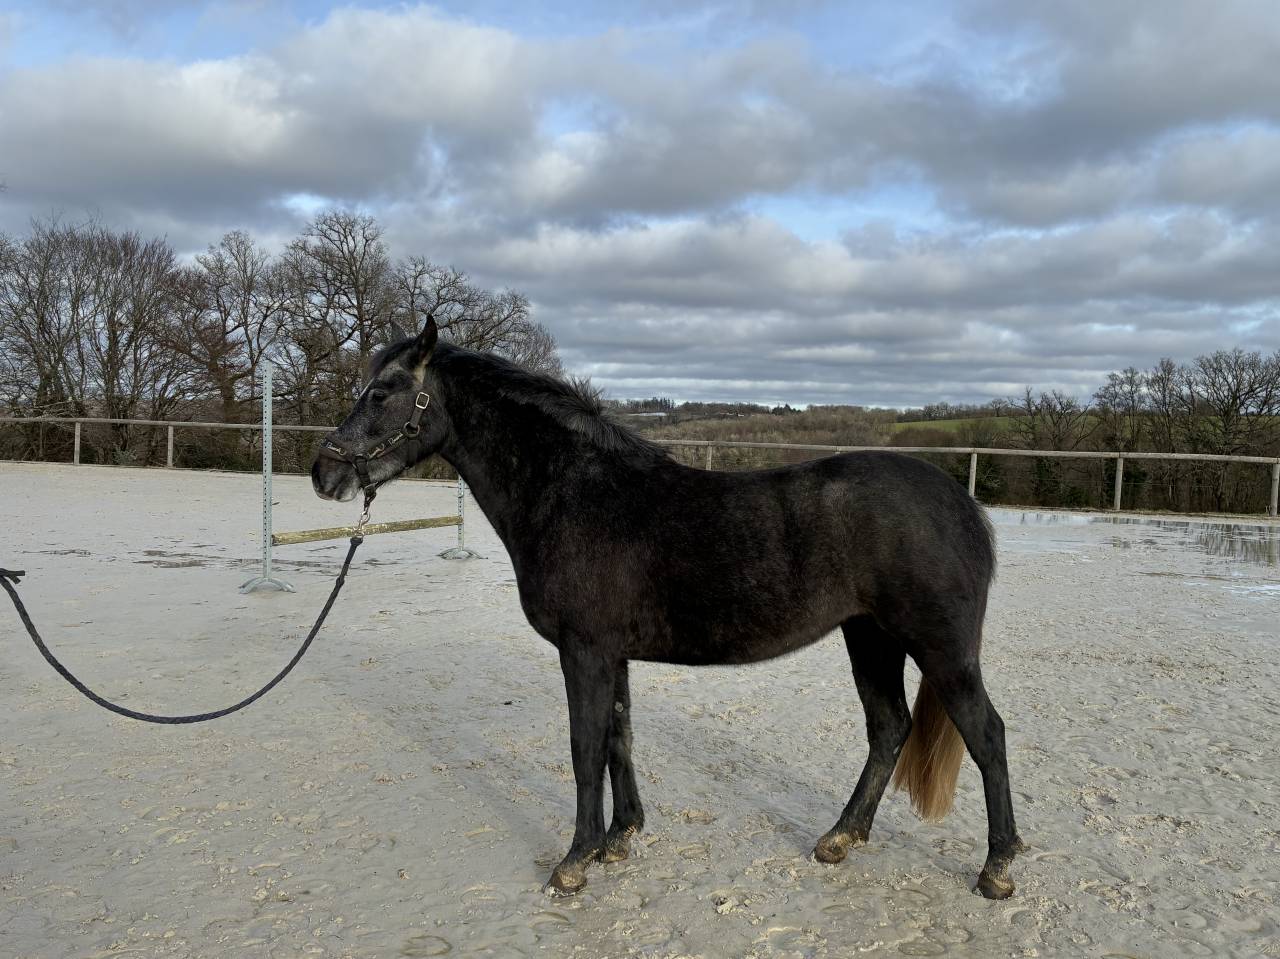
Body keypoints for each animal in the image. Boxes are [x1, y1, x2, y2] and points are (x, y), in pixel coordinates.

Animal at [310, 316, 1024, 899]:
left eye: (381, 393)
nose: (324, 473)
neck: (575, 494)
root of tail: (961, 505)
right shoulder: (611, 654)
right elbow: (618, 739)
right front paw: (619, 838)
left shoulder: (585, 652)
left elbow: (584, 749)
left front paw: (574, 862)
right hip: (870, 638)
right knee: (888, 730)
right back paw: (840, 839)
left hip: (939, 649)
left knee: (985, 734)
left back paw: (997, 869)